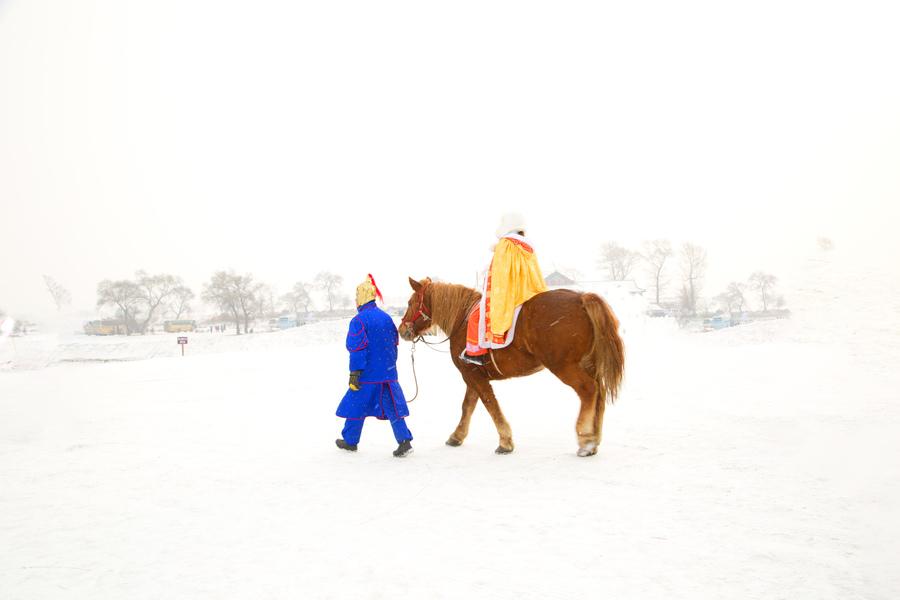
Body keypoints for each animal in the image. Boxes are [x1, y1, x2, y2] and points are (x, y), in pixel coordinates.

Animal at [400, 278, 624, 458]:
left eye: (410, 302)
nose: (402, 330)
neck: (462, 320)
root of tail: (581, 299)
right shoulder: (473, 376)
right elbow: (467, 406)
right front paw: (457, 436)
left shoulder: (473, 375)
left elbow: (491, 405)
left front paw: (505, 442)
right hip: (589, 364)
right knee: (600, 394)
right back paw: (594, 438)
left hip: (564, 367)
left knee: (589, 390)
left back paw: (586, 440)